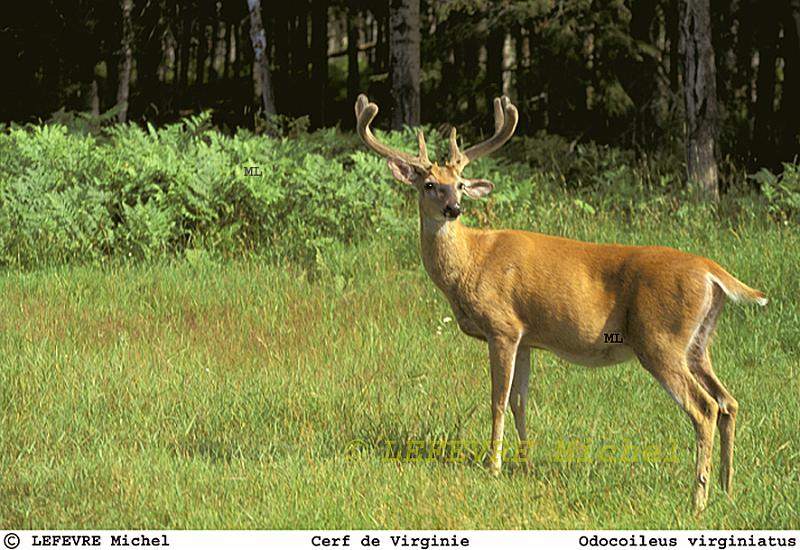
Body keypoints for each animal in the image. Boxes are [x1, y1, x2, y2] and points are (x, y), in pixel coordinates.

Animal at [356, 94, 768, 512]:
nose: (454, 208)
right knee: (729, 402)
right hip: (697, 343)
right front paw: (525, 466)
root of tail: (712, 271)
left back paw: (698, 499)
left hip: (660, 339)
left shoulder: (501, 326)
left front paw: (493, 467)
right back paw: (727, 490)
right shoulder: (526, 337)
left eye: (457, 184)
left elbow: (497, 400)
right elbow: (520, 402)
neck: (470, 262)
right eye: (429, 184)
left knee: (706, 408)